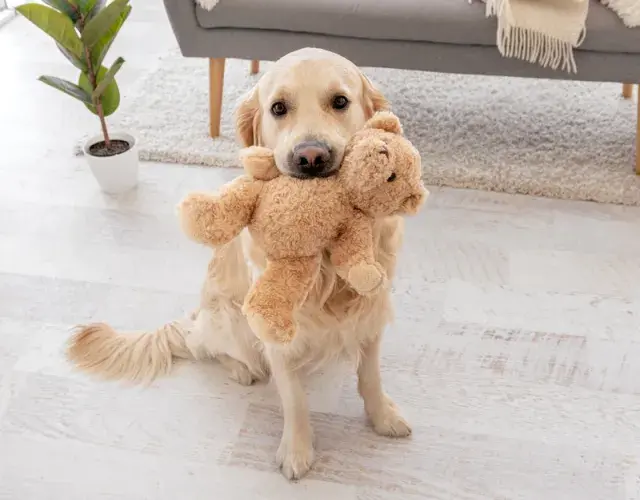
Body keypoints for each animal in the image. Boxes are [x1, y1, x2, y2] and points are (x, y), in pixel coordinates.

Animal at [69, 47, 410, 480]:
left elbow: (370, 376)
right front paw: (296, 451)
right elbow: (294, 399)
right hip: (230, 319)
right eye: (278, 108)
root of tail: (194, 317)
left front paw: (383, 417)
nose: (311, 157)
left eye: (340, 102)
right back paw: (240, 369)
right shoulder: (276, 331)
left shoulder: (371, 311)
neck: (327, 262)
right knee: (203, 347)